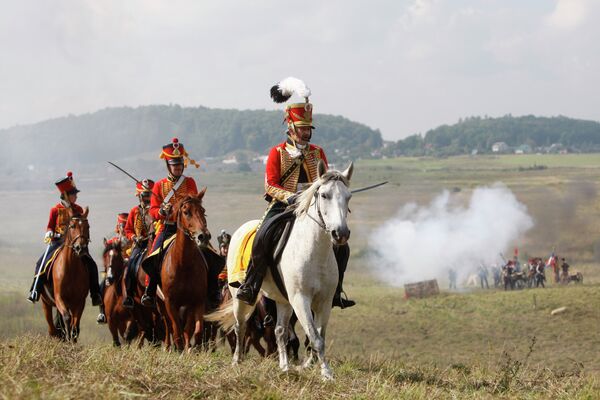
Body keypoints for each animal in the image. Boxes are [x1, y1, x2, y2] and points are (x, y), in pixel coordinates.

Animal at [41, 206, 91, 340]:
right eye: (72, 226)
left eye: (88, 226)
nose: (80, 248)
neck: (71, 269)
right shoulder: (59, 298)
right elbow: (67, 318)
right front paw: (68, 338)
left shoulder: (79, 301)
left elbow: (75, 325)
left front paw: (72, 339)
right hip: (45, 303)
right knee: (52, 329)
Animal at [159, 191, 211, 350]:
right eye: (186, 212)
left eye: (203, 211)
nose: (204, 236)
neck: (183, 265)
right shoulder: (170, 302)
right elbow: (177, 331)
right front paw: (180, 348)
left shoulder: (197, 301)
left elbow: (195, 331)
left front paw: (191, 349)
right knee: (168, 325)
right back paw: (168, 347)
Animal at [210, 161, 354, 380]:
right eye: (324, 195)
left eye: (348, 196)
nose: (341, 233)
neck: (314, 250)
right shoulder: (301, 299)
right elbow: (315, 337)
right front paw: (327, 374)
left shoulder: (324, 301)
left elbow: (318, 336)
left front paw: (322, 371)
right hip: (238, 296)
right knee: (240, 325)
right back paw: (237, 361)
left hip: (283, 300)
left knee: (280, 330)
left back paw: (284, 366)